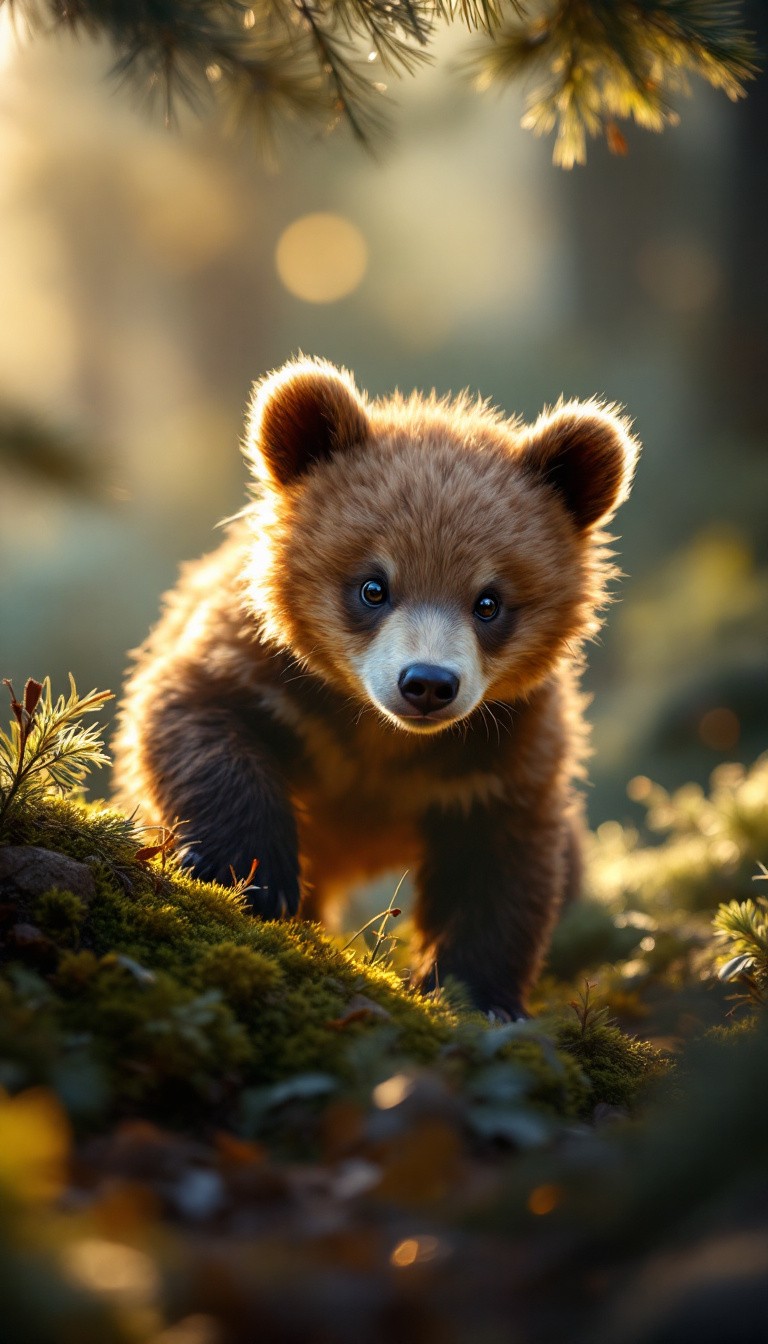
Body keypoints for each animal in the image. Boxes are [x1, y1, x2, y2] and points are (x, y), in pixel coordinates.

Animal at [113, 356, 639, 1018]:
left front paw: (480, 995)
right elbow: (193, 722)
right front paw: (249, 874)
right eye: (372, 586)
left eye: (489, 602)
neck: (379, 745)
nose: (428, 683)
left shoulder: (498, 758)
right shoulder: (261, 675)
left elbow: (502, 872)